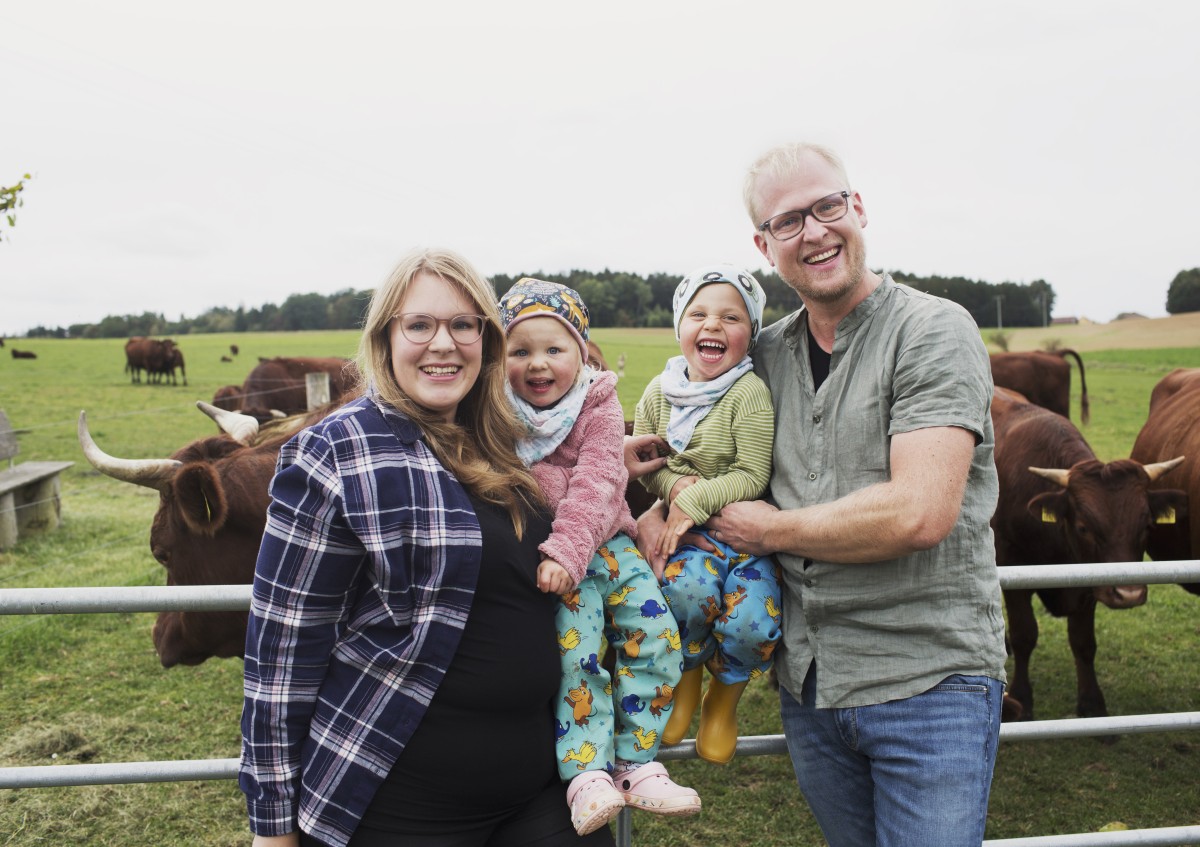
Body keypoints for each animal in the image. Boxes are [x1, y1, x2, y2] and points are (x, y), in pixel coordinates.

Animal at [993, 386, 1180, 715]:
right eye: (1083, 527)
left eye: (1146, 525)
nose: (1128, 594)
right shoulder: (1012, 565)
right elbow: (1025, 633)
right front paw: (1022, 698)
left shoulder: (1090, 579)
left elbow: (1083, 642)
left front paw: (1092, 703)